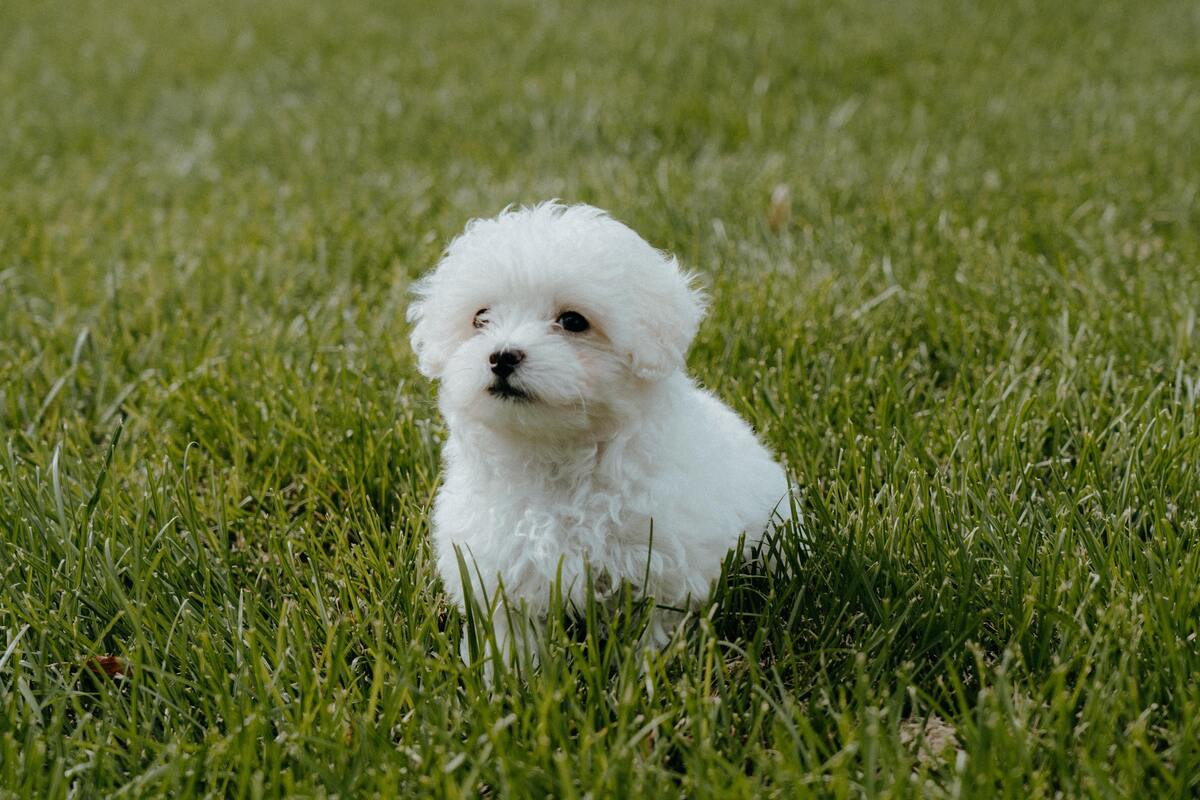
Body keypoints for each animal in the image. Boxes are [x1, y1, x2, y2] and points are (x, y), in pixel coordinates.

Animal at [408, 203, 792, 666]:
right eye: (480, 318)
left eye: (574, 321)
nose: (501, 356)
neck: (556, 456)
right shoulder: (497, 568)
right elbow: (512, 631)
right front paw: (506, 673)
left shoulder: (662, 564)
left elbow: (655, 626)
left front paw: (648, 668)